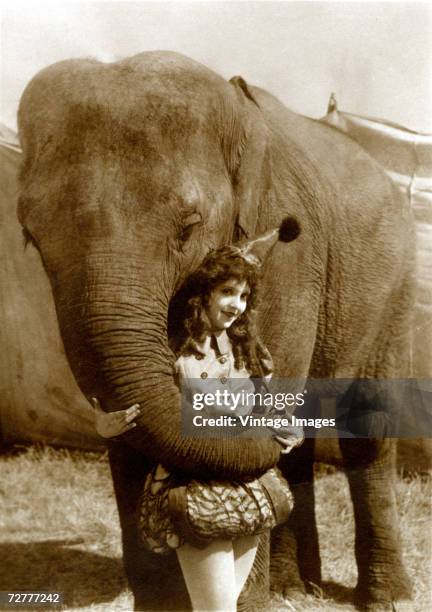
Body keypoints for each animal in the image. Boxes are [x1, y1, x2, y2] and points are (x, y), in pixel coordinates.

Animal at [16, 52, 416, 612]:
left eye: (188, 226)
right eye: (30, 236)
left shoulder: (294, 261)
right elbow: (134, 438)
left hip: (395, 289)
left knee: (367, 427)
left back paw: (386, 598)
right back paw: (293, 587)